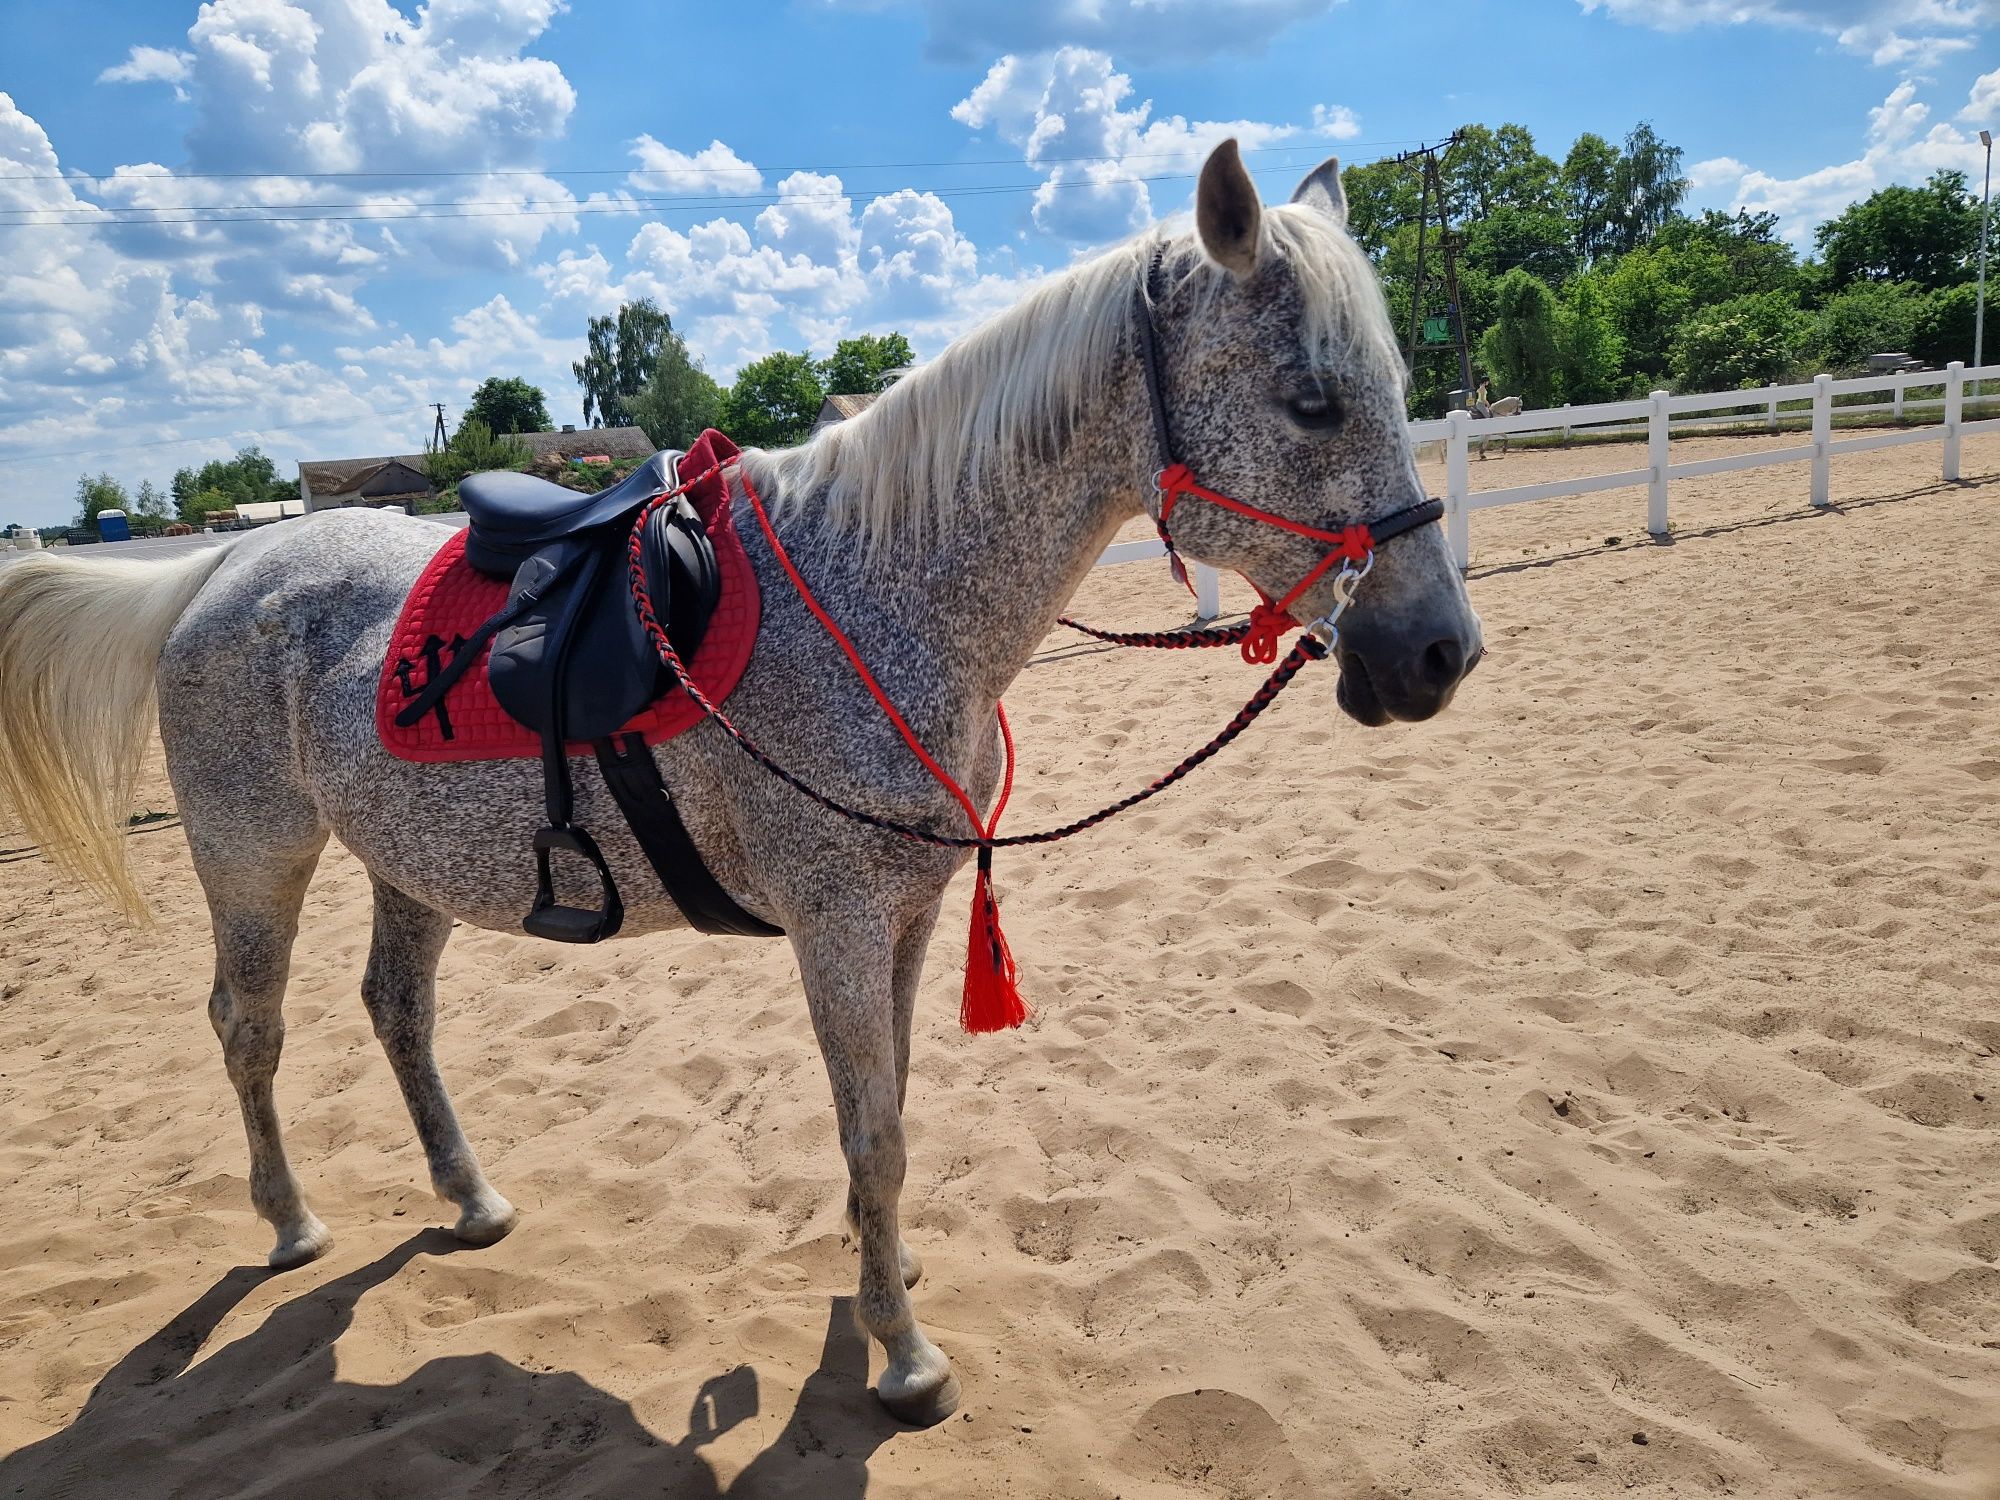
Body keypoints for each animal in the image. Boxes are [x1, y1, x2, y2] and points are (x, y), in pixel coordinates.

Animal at [0, 144, 1488, 1432]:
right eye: (1310, 399)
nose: (1437, 653)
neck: (882, 592)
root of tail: (221, 570)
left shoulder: (904, 917)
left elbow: (889, 1117)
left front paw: (890, 1283)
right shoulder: (834, 922)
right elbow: (872, 1130)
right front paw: (902, 1358)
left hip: (403, 863)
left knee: (396, 1013)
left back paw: (471, 1199)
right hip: (255, 856)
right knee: (248, 1028)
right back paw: (289, 1220)